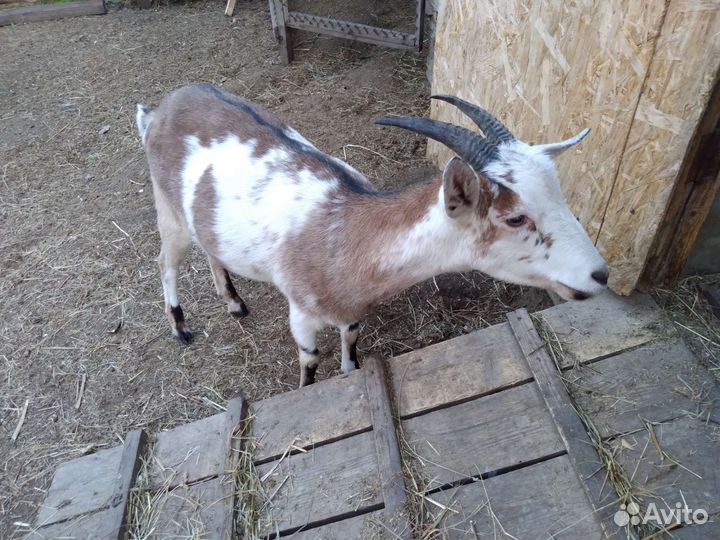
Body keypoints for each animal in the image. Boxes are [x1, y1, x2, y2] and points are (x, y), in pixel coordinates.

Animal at [136, 84, 608, 387]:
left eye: (560, 193)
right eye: (514, 218)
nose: (599, 275)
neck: (345, 235)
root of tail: (161, 109)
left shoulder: (353, 310)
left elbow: (351, 340)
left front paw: (350, 373)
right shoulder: (302, 314)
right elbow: (310, 360)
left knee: (211, 249)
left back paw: (235, 303)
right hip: (168, 209)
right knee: (165, 261)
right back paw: (181, 327)